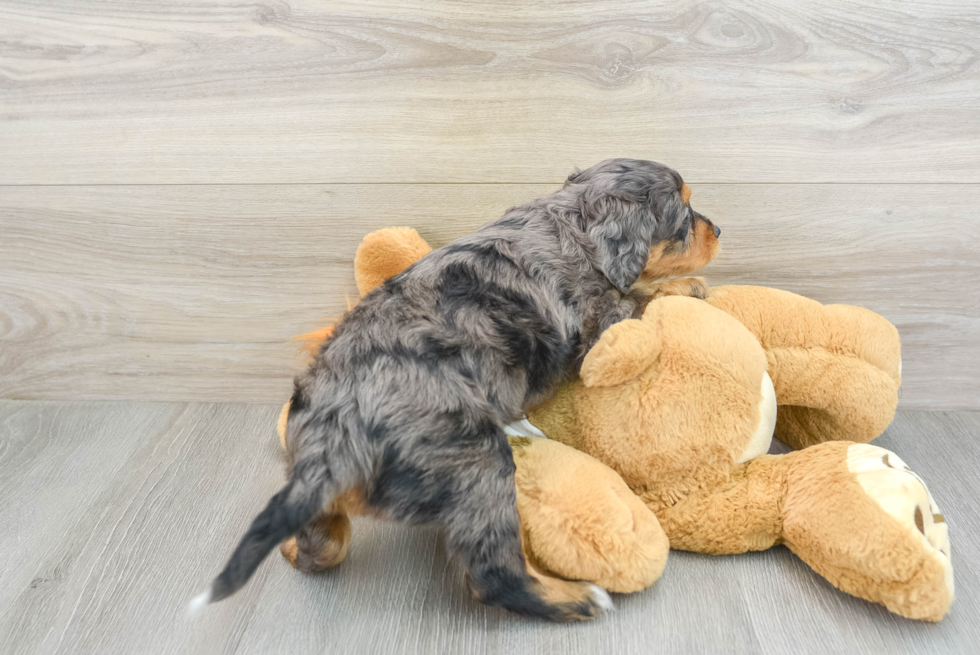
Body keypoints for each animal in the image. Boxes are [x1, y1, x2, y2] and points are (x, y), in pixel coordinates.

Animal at [197, 158, 720, 620]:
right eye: (684, 215)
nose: (718, 230)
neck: (572, 222)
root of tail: (334, 444)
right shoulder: (598, 322)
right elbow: (640, 297)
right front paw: (691, 285)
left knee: (323, 546)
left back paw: (290, 547)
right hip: (476, 467)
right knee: (492, 574)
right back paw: (579, 599)